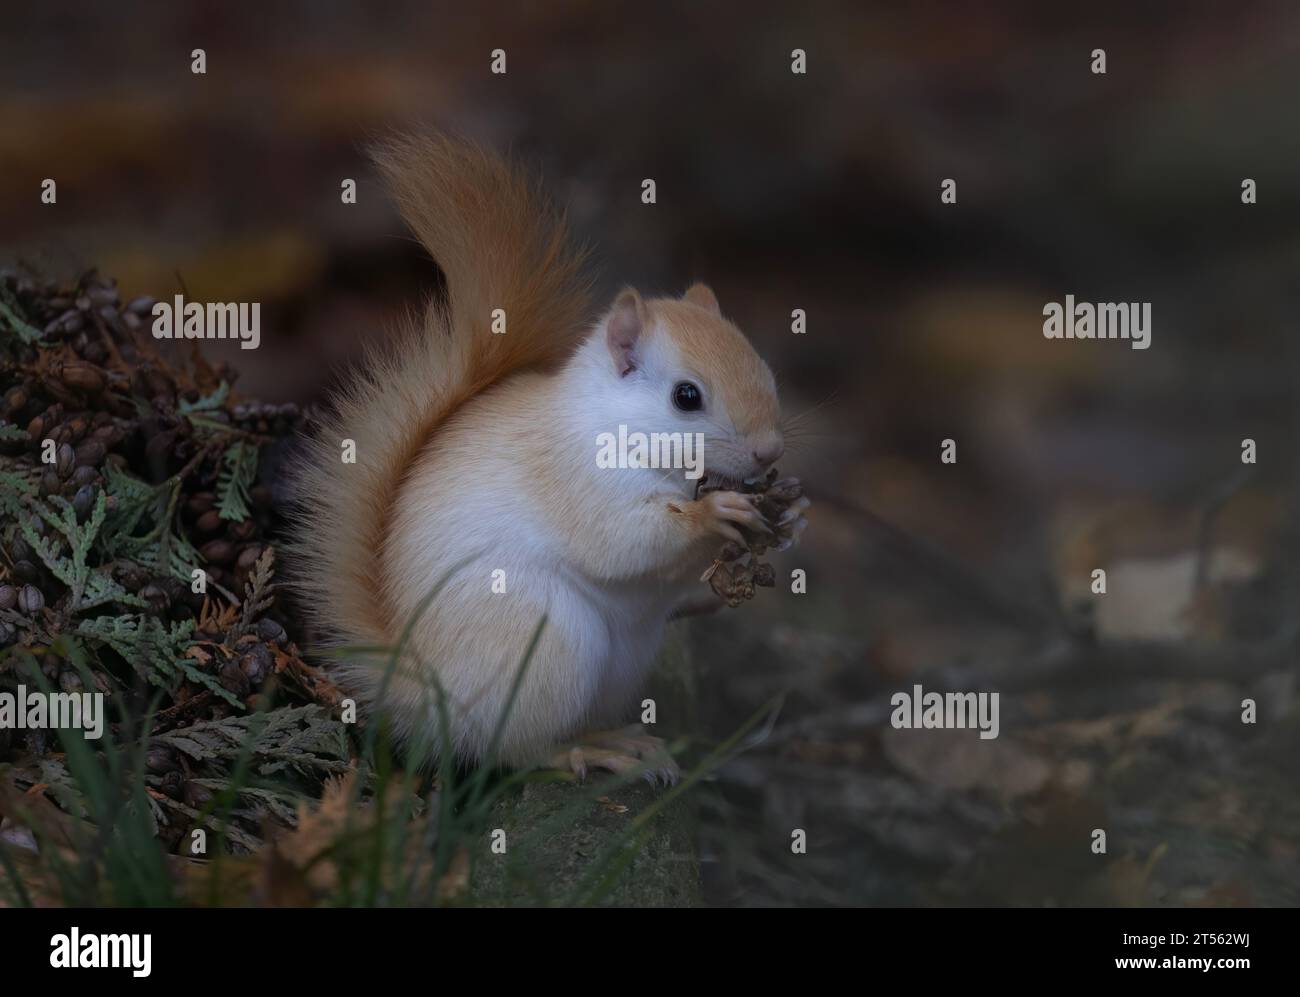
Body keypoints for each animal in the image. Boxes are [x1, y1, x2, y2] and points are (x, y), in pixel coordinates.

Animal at [289, 134, 806, 779]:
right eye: (686, 397)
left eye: (764, 367)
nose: (769, 451)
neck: (615, 428)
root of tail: (419, 690)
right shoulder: (574, 478)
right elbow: (622, 542)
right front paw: (715, 516)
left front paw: (791, 519)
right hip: (547, 643)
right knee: (515, 750)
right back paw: (588, 752)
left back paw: (622, 739)